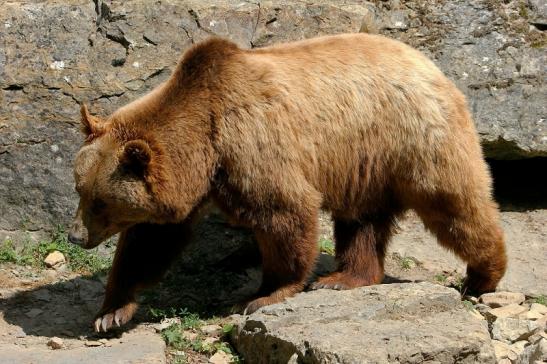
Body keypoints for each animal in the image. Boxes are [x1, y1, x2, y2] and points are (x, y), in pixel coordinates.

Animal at [69, 34, 510, 332]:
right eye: (81, 189)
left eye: (101, 202)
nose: (75, 236)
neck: (207, 143)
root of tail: (431, 65)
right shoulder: (190, 186)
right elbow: (150, 243)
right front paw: (111, 312)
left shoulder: (253, 144)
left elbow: (285, 213)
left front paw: (264, 295)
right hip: (365, 163)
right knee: (362, 222)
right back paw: (345, 278)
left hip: (414, 138)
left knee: (453, 204)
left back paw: (481, 275)